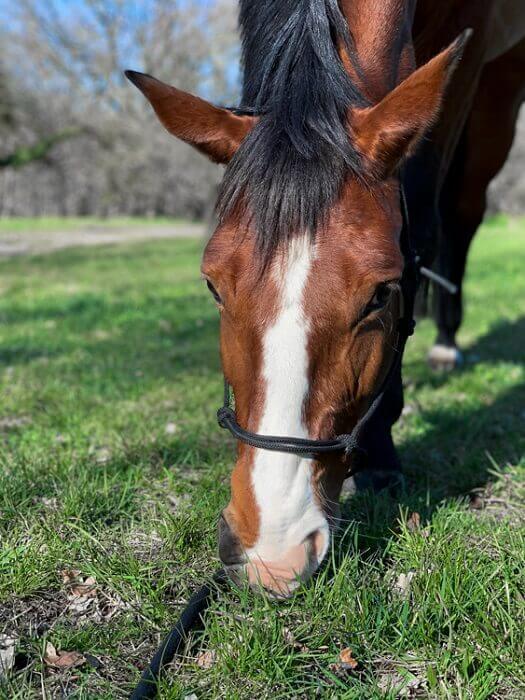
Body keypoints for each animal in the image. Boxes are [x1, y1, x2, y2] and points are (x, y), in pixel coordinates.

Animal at [127, 2, 524, 600]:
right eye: (213, 286)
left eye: (382, 295)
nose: (273, 551)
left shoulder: (469, 58)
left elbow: (425, 222)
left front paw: (382, 453)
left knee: (463, 211)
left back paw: (447, 342)